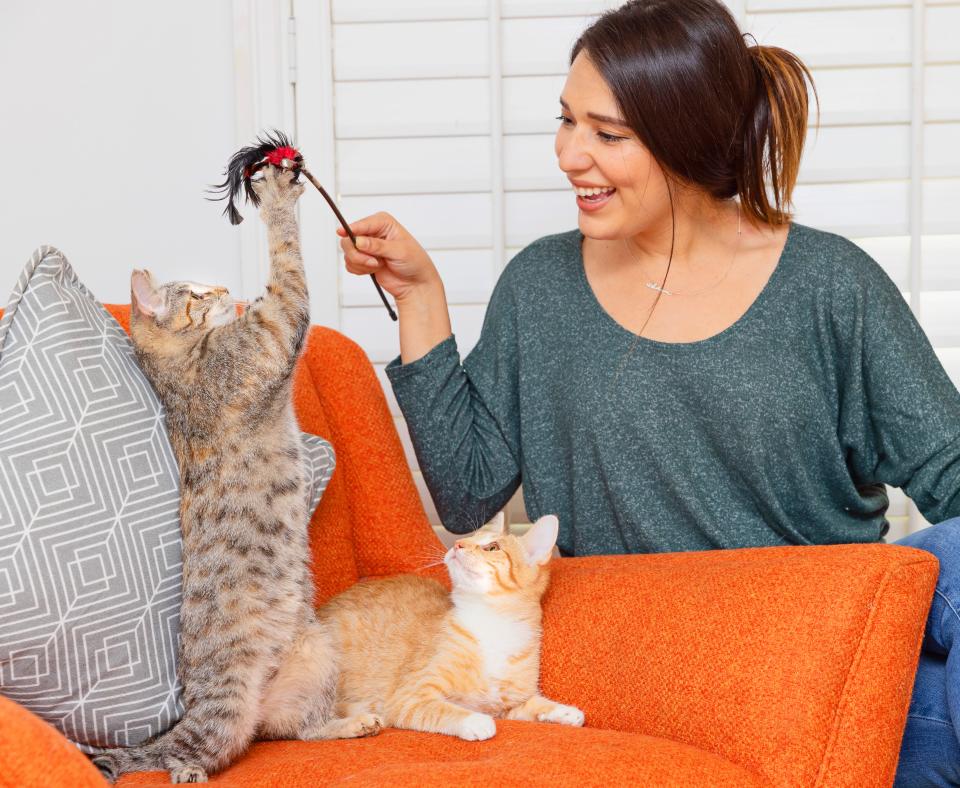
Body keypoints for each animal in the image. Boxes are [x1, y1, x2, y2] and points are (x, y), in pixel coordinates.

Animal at [91, 166, 348, 780]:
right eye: (198, 294)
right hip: (224, 705)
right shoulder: (276, 325)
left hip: (318, 657)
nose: (227, 291)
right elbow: (285, 263)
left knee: (290, 730)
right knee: (187, 749)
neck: (177, 364)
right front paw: (276, 198)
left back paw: (347, 724)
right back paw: (186, 770)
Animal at [316, 516, 584, 740]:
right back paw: (358, 721)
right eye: (470, 536)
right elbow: (445, 709)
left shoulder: (507, 706)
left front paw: (565, 711)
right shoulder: (411, 696)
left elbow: (535, 704)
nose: (457, 544)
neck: (492, 625)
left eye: (492, 547)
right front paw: (476, 721)